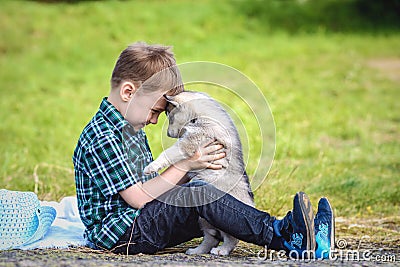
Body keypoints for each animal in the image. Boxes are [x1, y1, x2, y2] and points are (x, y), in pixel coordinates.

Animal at [145, 91, 253, 256]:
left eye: (169, 115)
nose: (168, 134)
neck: (198, 117)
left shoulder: (191, 142)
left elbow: (168, 152)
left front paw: (152, 166)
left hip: (224, 221)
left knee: (231, 239)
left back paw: (221, 250)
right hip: (203, 219)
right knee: (211, 237)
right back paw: (197, 250)